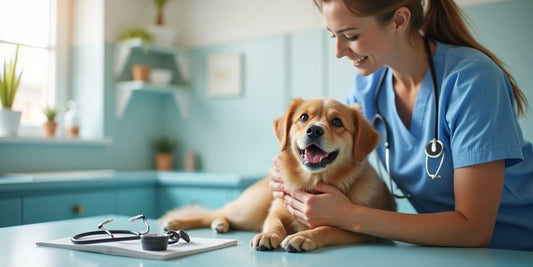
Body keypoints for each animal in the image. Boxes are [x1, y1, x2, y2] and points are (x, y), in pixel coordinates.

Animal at [160, 98, 396, 253]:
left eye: (337, 122)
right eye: (304, 117)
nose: (314, 130)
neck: (312, 182)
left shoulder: (357, 230)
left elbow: (326, 228)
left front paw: (302, 236)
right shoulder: (277, 209)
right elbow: (274, 223)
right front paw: (268, 235)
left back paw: (218, 224)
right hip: (249, 209)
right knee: (215, 212)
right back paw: (180, 222)